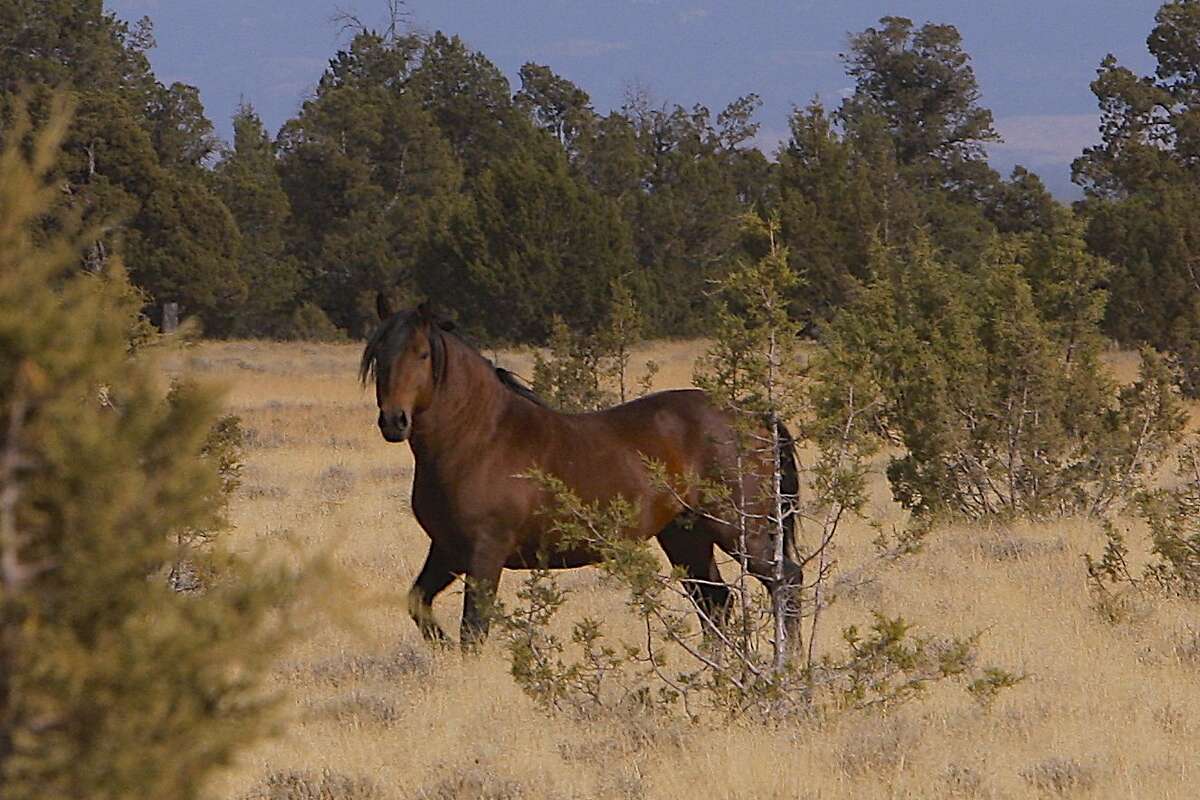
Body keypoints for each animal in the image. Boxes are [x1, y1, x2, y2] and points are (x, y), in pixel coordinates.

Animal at [361, 298, 803, 650]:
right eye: (379, 355)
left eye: (421, 353)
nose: (394, 421)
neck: (480, 438)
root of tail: (754, 418)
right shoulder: (447, 548)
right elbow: (419, 603)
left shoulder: (484, 552)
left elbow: (474, 628)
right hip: (686, 536)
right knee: (716, 601)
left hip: (737, 529)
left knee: (785, 581)